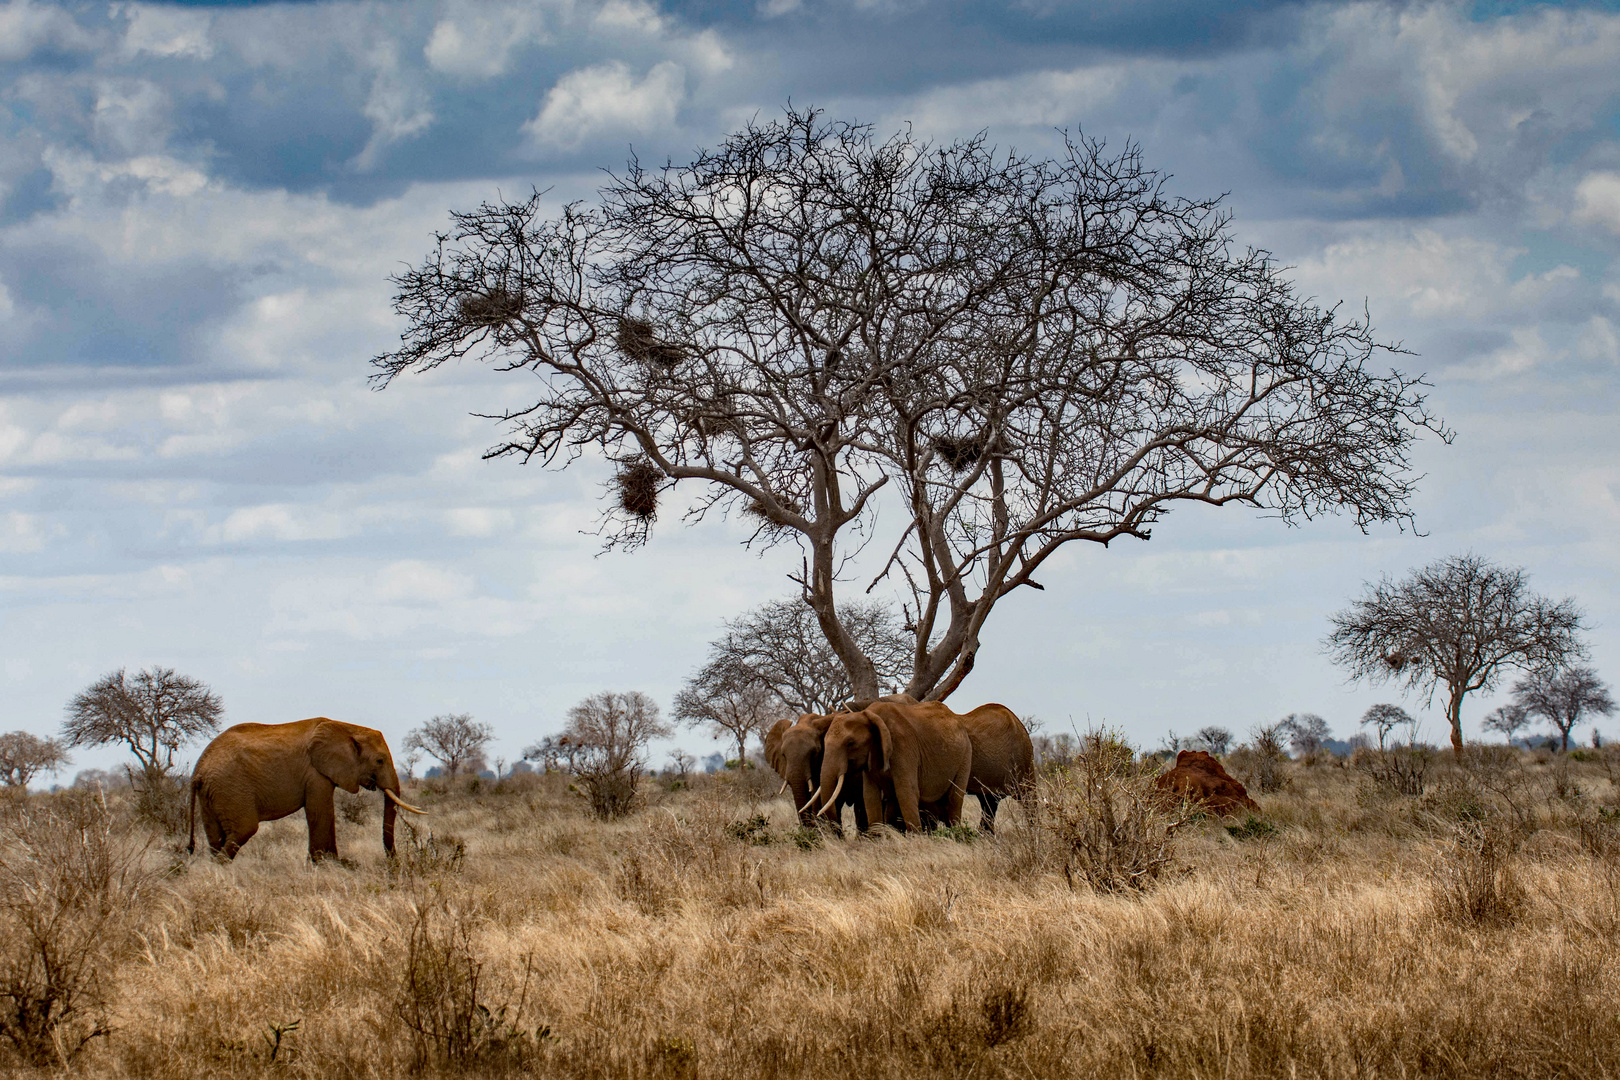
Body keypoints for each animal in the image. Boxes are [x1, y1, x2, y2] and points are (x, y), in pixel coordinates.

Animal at [187, 718, 427, 861]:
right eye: (379, 761)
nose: (394, 862)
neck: (347, 728)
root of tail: (198, 769)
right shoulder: (315, 774)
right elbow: (321, 812)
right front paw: (326, 864)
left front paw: (333, 863)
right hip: (230, 789)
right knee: (244, 829)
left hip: (211, 794)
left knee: (215, 838)